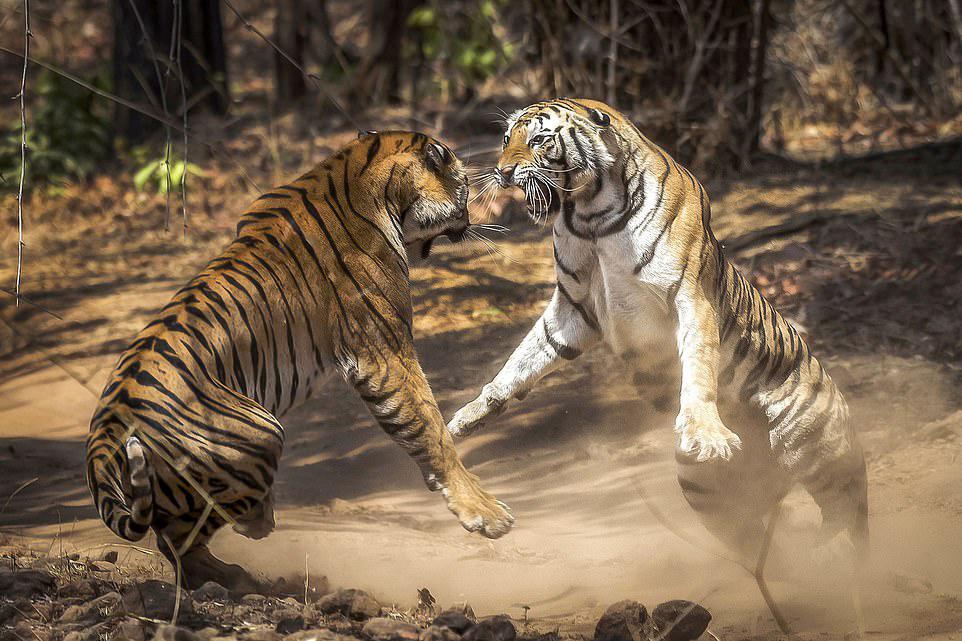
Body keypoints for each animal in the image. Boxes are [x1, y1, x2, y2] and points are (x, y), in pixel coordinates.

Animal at [86, 130, 512, 592]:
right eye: (465, 186)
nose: (470, 218)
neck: (358, 170)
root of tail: (106, 430)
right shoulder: (382, 355)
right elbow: (430, 427)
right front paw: (484, 512)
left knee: (176, 544)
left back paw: (236, 568)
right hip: (262, 430)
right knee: (191, 534)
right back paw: (253, 539)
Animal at [446, 101, 868, 576]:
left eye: (538, 140)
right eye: (505, 140)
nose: (502, 171)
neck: (587, 214)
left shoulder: (689, 297)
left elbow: (699, 366)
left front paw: (706, 432)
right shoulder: (574, 308)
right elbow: (525, 358)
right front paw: (469, 415)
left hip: (817, 447)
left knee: (849, 510)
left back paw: (839, 558)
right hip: (707, 490)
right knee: (757, 537)